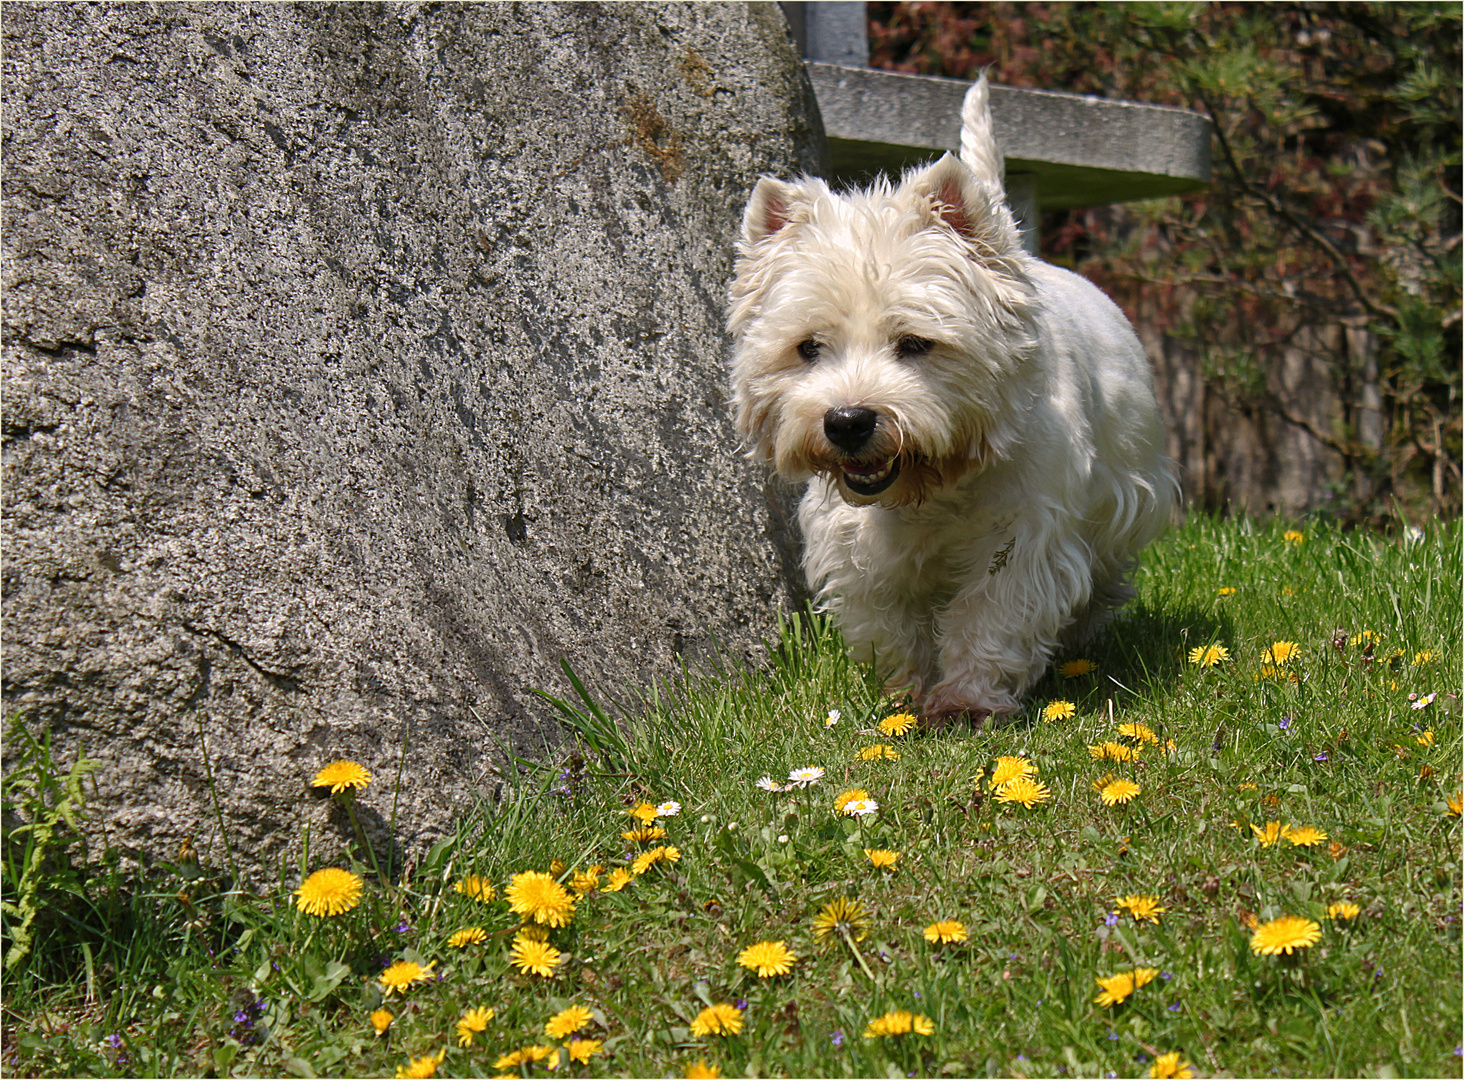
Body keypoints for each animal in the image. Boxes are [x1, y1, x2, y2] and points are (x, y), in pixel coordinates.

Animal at [732, 75, 1177, 722]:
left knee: (1103, 573)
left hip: (1123, 495)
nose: (848, 421)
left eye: (916, 342)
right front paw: (907, 694)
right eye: (808, 347)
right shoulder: (856, 544)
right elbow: (891, 621)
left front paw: (965, 701)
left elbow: (992, 612)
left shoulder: (1023, 533)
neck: (932, 483)